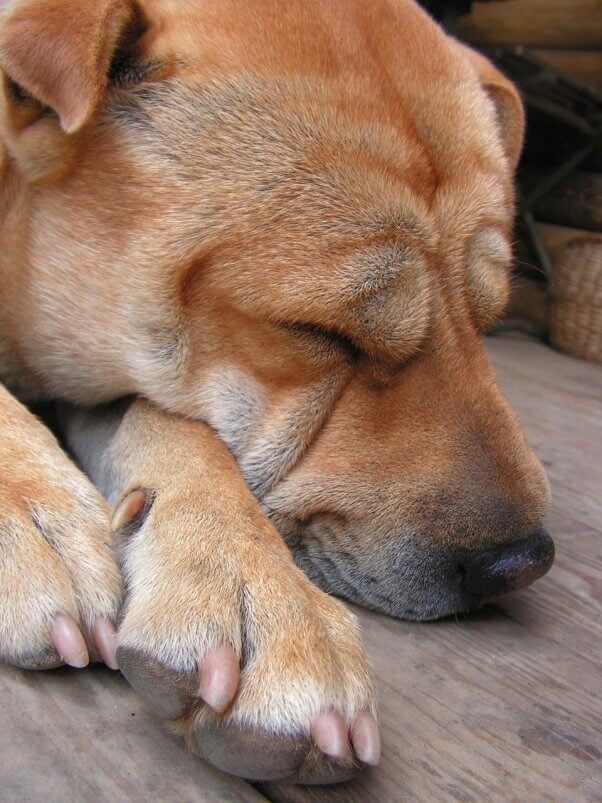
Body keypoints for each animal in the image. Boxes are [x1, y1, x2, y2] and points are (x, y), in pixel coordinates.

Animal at [0, 0, 552, 784]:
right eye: (320, 332)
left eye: (490, 317)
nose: (522, 561)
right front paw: (30, 514)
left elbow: (184, 429)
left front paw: (256, 583)